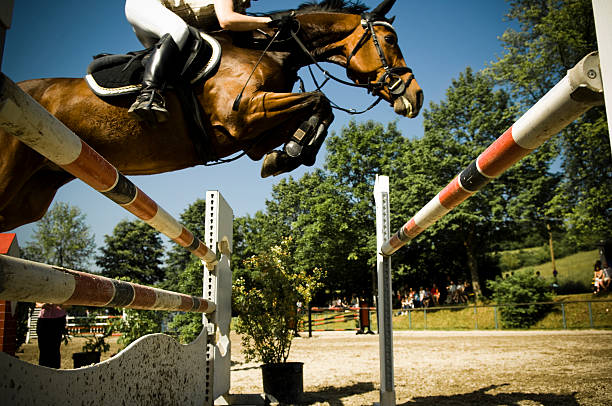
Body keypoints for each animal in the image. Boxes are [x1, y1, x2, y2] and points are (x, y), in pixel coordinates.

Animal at [0, 0, 420, 233]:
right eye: (389, 40)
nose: (415, 96)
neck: (272, 49)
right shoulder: (243, 114)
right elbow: (319, 101)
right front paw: (290, 154)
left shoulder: (252, 133)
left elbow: (318, 111)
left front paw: (287, 155)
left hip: (32, 196)